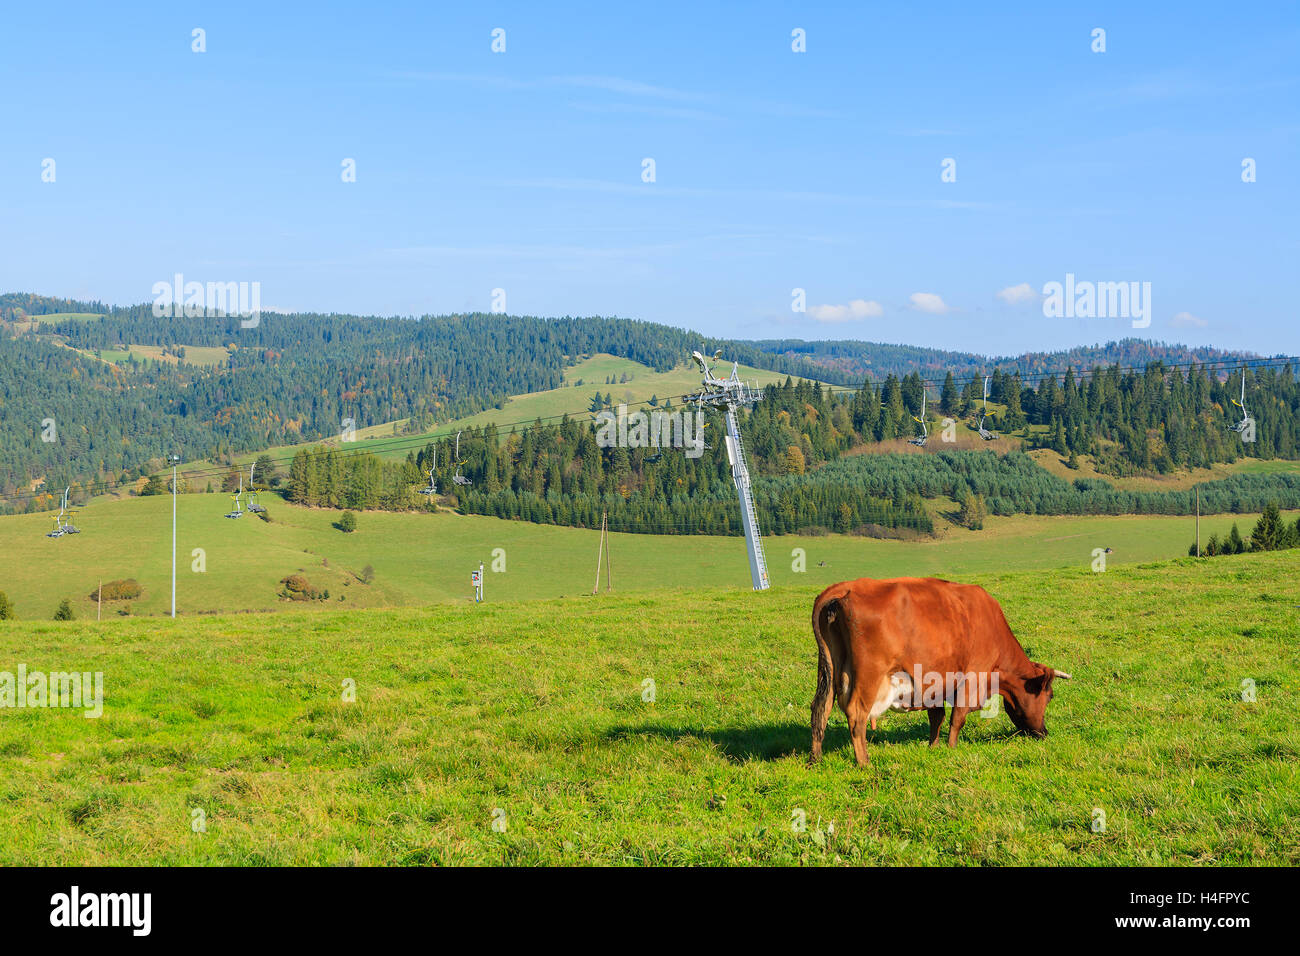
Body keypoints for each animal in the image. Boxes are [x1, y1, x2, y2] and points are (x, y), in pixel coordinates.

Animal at [806, 574, 1071, 770]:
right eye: (1050, 697)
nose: (1044, 733)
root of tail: (841, 589)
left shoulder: (934, 683)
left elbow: (938, 716)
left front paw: (932, 747)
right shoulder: (972, 679)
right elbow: (957, 717)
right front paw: (952, 748)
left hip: (828, 669)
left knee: (821, 708)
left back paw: (815, 759)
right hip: (869, 677)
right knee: (856, 714)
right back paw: (864, 763)